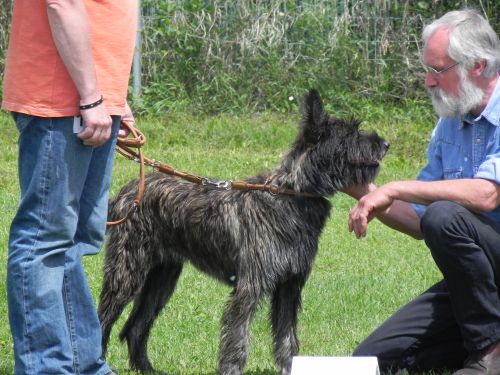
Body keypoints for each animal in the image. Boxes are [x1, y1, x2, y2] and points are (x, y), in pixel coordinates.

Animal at [96, 90, 386, 375]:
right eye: (350, 134)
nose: (384, 144)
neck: (291, 193)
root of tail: (126, 193)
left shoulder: (289, 287)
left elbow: (287, 339)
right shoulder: (249, 287)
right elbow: (237, 340)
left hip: (162, 279)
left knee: (135, 326)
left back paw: (147, 369)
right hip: (126, 275)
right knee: (102, 321)